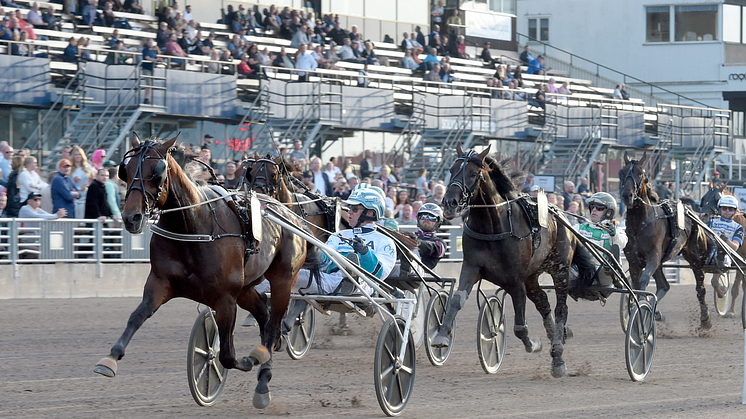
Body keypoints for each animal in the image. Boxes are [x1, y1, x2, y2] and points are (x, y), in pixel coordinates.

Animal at [94, 135, 306, 410]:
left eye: (157, 172)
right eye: (125, 170)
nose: (132, 217)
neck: (194, 225)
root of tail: (289, 214)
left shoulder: (225, 298)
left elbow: (227, 356)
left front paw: (244, 360)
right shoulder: (159, 283)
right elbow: (136, 316)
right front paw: (110, 358)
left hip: (283, 279)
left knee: (272, 325)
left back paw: (262, 375)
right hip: (245, 289)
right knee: (263, 314)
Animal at [430, 144, 592, 378]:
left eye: (473, 173)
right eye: (451, 170)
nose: (449, 203)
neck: (493, 226)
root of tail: (562, 216)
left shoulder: (515, 280)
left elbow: (519, 326)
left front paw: (533, 344)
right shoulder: (471, 267)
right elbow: (456, 300)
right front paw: (442, 336)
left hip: (560, 269)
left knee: (561, 309)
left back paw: (558, 357)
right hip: (532, 275)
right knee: (543, 302)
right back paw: (558, 340)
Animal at [616, 153, 708, 330]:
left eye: (640, 173)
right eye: (622, 172)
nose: (627, 195)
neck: (641, 224)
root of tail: (692, 212)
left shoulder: (653, 256)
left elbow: (644, 282)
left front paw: (643, 312)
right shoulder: (634, 261)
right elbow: (636, 286)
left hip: (695, 258)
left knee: (701, 288)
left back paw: (705, 321)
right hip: (659, 263)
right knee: (664, 285)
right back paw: (656, 312)